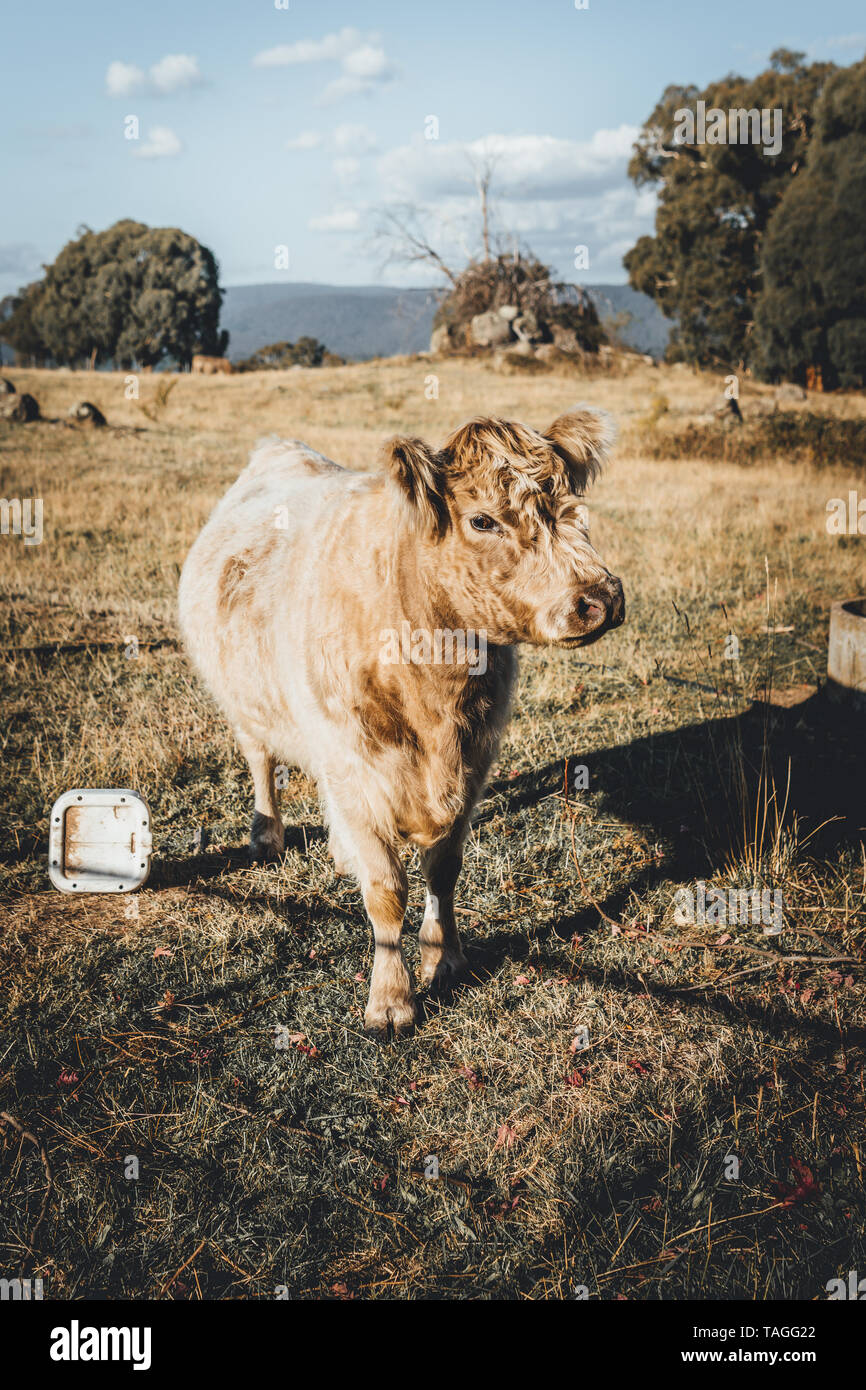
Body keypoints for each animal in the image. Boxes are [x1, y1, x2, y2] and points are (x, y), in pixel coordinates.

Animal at [177, 405, 622, 1039]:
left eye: (571, 505)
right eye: (482, 520)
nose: (600, 599)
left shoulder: (473, 763)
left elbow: (444, 870)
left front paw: (446, 958)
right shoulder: (356, 765)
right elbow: (387, 891)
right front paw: (391, 1000)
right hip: (246, 700)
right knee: (261, 758)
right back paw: (267, 835)